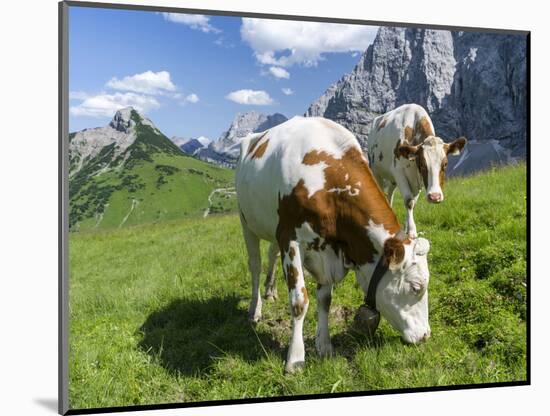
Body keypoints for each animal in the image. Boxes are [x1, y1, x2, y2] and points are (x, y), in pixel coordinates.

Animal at [235, 117, 434, 374]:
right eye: (416, 287)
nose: (425, 335)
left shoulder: (325, 249)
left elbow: (325, 300)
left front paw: (325, 346)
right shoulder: (290, 238)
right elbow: (299, 301)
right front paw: (295, 359)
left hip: (270, 227)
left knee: (271, 255)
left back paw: (270, 291)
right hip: (246, 222)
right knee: (255, 266)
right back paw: (255, 309)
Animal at [368, 105, 468, 237]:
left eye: (445, 164)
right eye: (422, 164)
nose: (434, 197)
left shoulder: (417, 180)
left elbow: (413, 202)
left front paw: (407, 228)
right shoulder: (399, 172)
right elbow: (409, 201)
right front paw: (411, 231)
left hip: (392, 180)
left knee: (389, 194)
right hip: (376, 171)